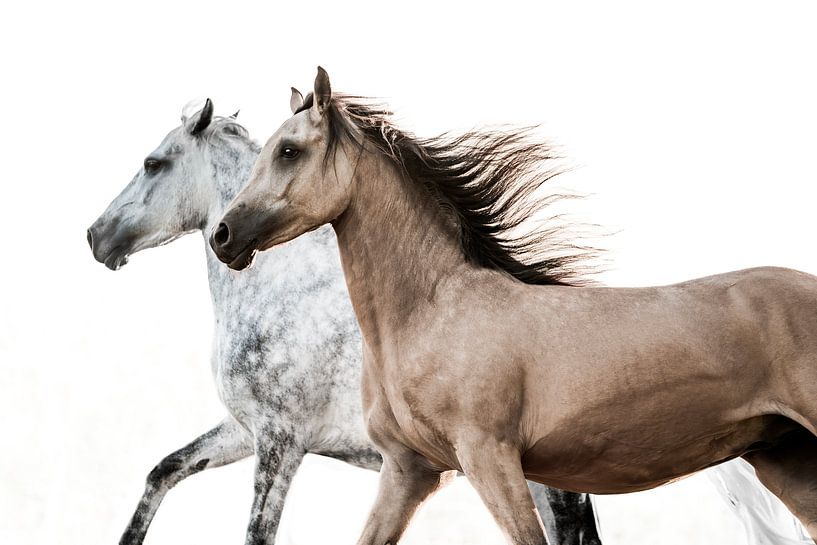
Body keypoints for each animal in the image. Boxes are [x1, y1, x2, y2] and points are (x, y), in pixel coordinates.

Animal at [86, 99, 602, 545]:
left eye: (153, 163)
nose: (96, 236)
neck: (278, 287)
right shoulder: (243, 430)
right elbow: (164, 471)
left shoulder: (280, 442)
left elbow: (257, 533)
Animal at [210, 67, 817, 545]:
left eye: (289, 150)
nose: (223, 236)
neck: (431, 314)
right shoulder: (407, 472)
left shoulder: (490, 458)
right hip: (788, 463)